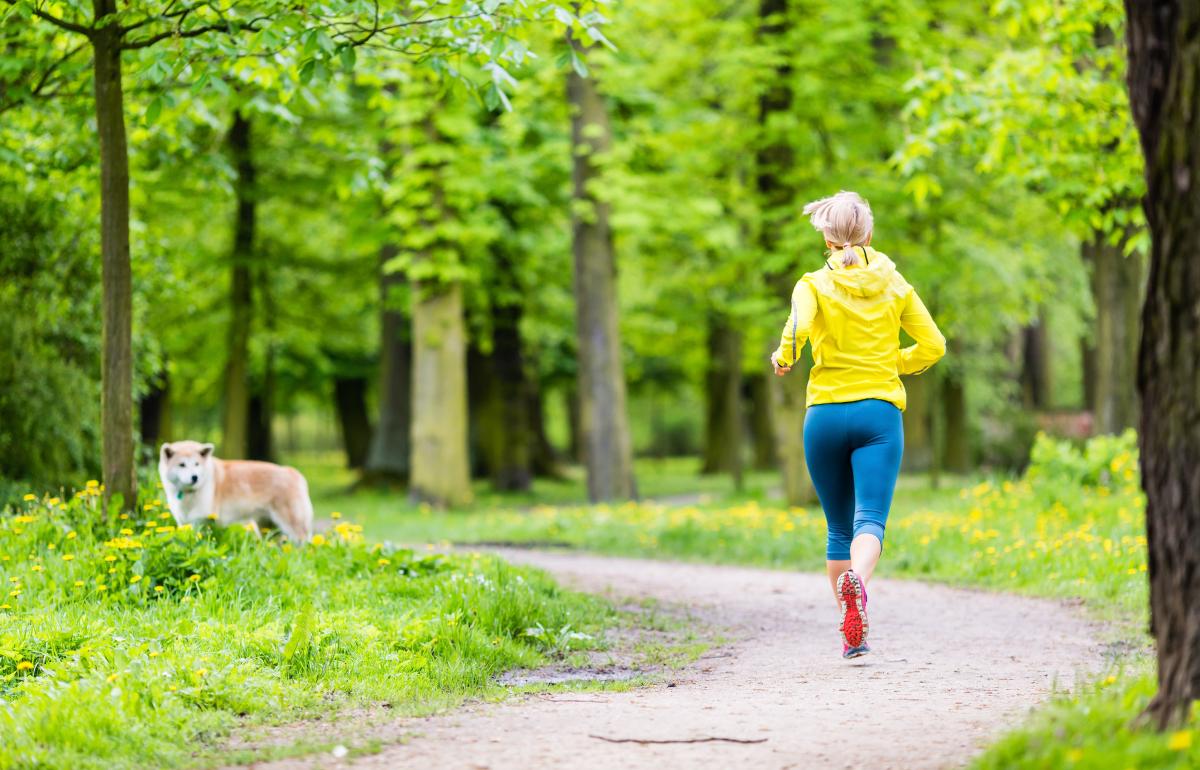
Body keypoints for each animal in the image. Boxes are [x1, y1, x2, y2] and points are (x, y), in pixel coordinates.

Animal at [159, 441, 314, 542]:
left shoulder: (201, 521)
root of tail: (293, 472)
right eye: (182, 465)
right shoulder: (184, 524)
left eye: (197, 464)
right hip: (267, 528)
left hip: (293, 526)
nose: (194, 477)